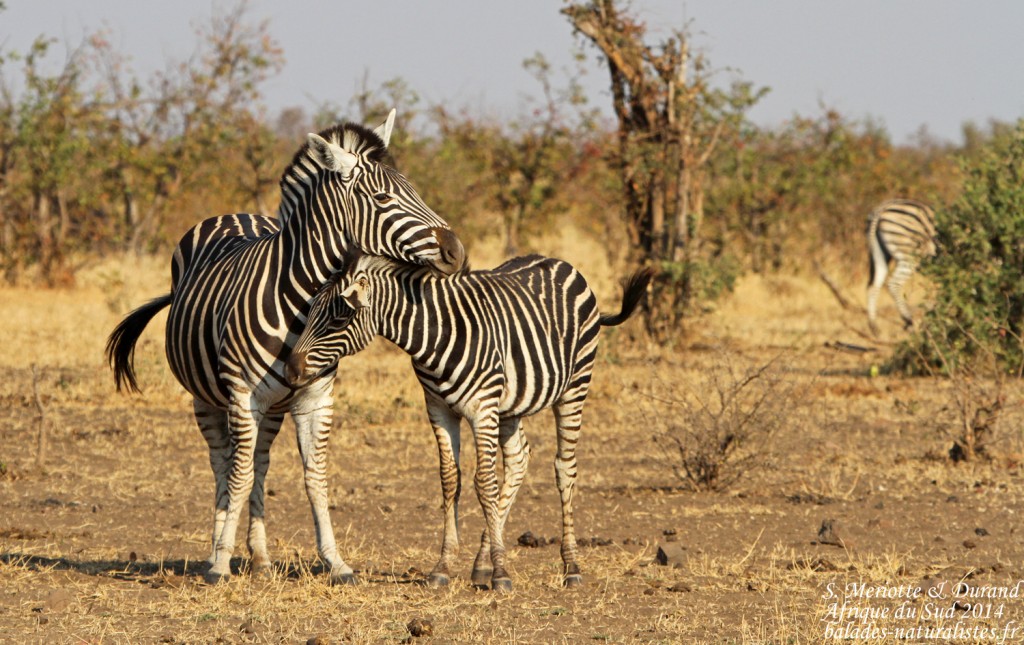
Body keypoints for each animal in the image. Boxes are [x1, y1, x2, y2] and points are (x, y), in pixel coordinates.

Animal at [105, 110, 467, 585]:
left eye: (414, 189)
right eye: (383, 197)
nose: (456, 250)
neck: (300, 298)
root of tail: (234, 214)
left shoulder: (315, 396)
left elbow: (315, 476)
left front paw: (335, 562)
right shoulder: (242, 396)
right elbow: (236, 478)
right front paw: (220, 562)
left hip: (274, 406)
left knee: (258, 463)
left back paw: (260, 557)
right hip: (207, 398)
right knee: (224, 464)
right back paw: (215, 549)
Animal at [284, 249, 653, 591]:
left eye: (337, 320)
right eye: (309, 314)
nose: (291, 371)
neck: (434, 337)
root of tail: (559, 262)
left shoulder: (482, 408)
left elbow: (485, 482)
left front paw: (502, 573)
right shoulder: (438, 408)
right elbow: (450, 480)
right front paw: (444, 566)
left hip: (575, 385)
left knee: (564, 468)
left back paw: (571, 567)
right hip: (511, 406)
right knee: (518, 460)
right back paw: (483, 562)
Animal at [866, 198, 937, 334]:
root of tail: (882, 208)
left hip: (880, 254)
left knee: (874, 285)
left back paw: (873, 325)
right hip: (910, 256)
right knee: (893, 284)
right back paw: (909, 319)